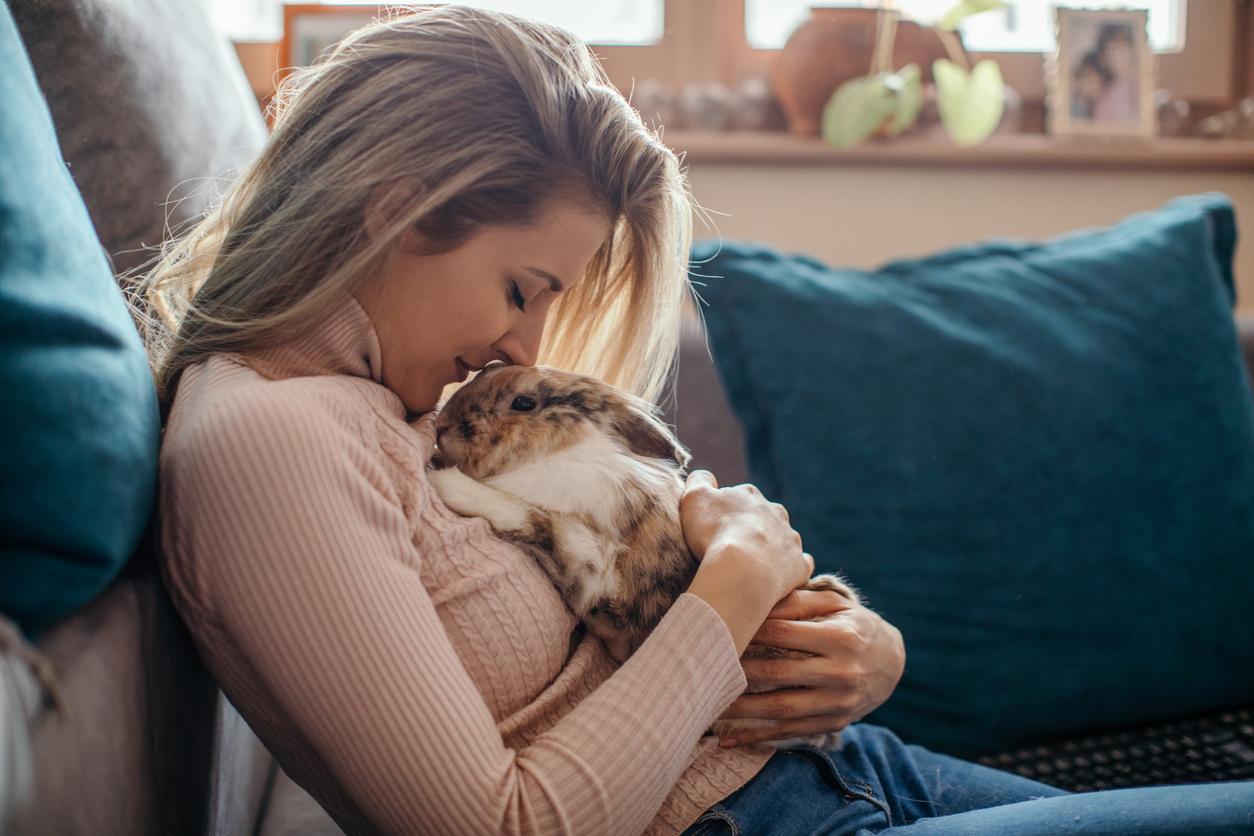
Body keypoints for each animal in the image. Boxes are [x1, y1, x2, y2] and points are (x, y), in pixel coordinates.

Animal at [426, 365, 857, 752]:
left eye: (523, 402)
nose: (442, 425)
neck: (555, 454)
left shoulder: (588, 560)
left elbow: (526, 516)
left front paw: (444, 482)